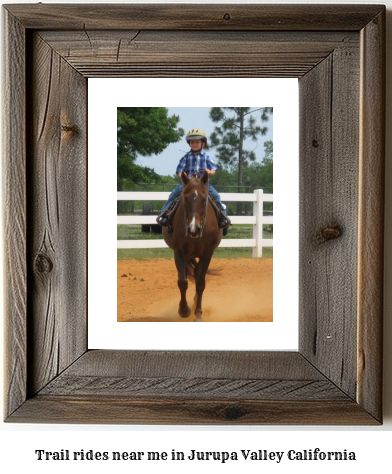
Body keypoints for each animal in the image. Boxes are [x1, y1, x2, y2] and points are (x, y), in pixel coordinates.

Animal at [163, 171, 224, 322]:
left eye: (204, 198)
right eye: (185, 198)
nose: (193, 229)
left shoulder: (208, 253)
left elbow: (201, 282)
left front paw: (198, 314)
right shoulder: (179, 251)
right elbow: (182, 282)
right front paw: (184, 310)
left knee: (197, 276)